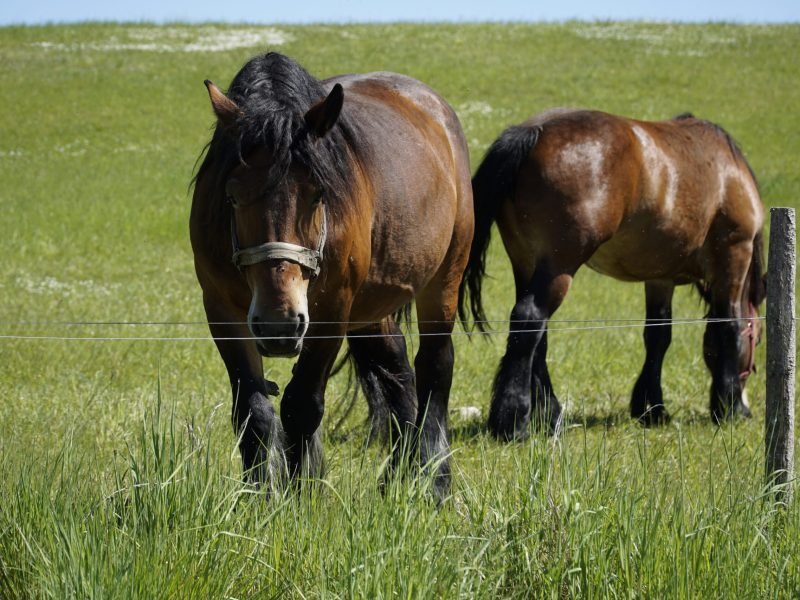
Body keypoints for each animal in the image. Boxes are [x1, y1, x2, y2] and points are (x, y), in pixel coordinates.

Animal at [189, 52, 473, 497]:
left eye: (319, 193)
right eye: (231, 195)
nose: (278, 324)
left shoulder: (333, 310)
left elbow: (303, 403)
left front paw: (300, 494)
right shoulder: (220, 309)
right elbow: (253, 410)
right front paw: (260, 496)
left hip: (444, 279)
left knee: (435, 369)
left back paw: (435, 480)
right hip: (373, 307)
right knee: (396, 369)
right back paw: (400, 473)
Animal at [459, 109, 766, 440]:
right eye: (758, 340)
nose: (746, 399)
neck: (728, 172)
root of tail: (534, 132)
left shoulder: (660, 277)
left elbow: (658, 336)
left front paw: (652, 408)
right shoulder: (734, 255)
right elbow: (729, 326)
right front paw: (731, 407)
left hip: (525, 262)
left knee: (535, 336)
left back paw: (550, 415)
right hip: (558, 266)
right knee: (530, 319)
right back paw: (513, 421)